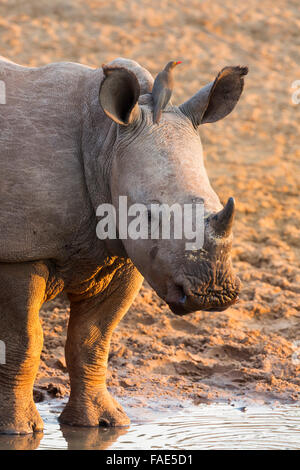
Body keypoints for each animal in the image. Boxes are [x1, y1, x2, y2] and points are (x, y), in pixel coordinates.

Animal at [0, 56, 247, 434]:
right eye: (148, 215)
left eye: (217, 203)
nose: (213, 294)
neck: (106, 141)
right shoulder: (20, 250)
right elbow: (24, 340)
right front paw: (18, 430)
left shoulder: (123, 255)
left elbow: (92, 340)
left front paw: (101, 424)